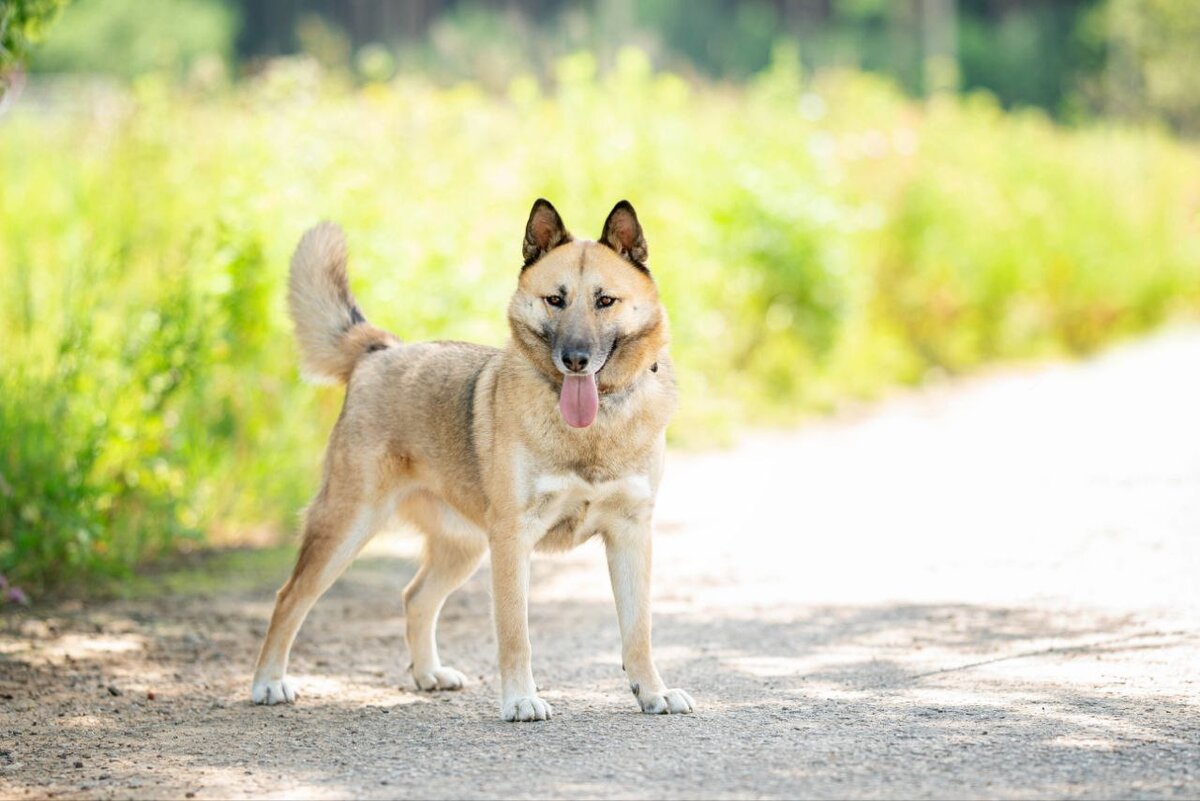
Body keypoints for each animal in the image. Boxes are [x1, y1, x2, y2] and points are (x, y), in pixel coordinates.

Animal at [250, 199, 696, 719]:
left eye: (605, 301)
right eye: (555, 300)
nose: (575, 359)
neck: (593, 429)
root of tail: (380, 351)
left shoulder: (631, 535)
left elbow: (638, 632)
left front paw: (653, 691)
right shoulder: (513, 539)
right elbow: (515, 633)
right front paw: (521, 698)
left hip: (461, 548)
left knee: (415, 598)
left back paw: (427, 673)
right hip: (347, 525)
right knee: (289, 598)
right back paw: (268, 682)